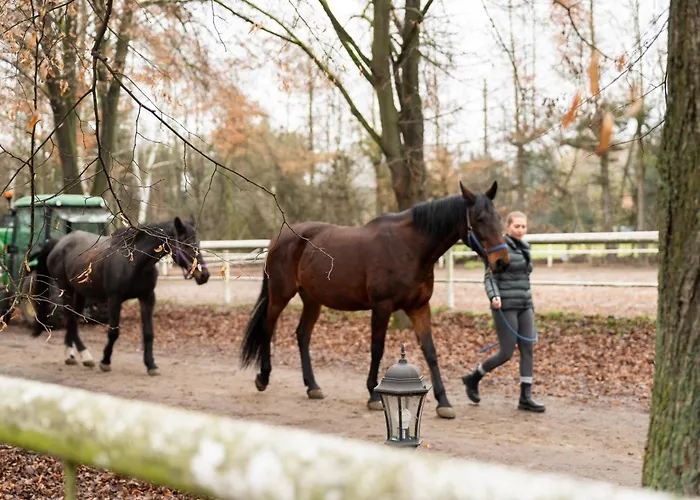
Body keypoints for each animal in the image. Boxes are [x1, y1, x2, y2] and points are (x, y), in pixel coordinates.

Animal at [31, 217, 210, 375]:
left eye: (198, 243)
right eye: (186, 244)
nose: (204, 275)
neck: (134, 260)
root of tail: (58, 243)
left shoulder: (147, 298)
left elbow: (148, 333)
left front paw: (151, 364)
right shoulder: (114, 299)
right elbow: (113, 332)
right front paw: (105, 361)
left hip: (80, 293)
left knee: (72, 319)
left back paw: (71, 355)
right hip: (66, 289)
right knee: (70, 319)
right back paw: (86, 356)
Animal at [240, 180, 510, 419]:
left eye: (498, 218)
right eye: (479, 218)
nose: (502, 262)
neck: (410, 247)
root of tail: (279, 238)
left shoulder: (419, 307)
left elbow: (430, 351)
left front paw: (443, 402)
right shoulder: (382, 307)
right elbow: (377, 348)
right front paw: (373, 395)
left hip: (312, 300)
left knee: (302, 334)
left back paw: (313, 386)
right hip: (280, 294)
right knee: (268, 328)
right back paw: (263, 377)